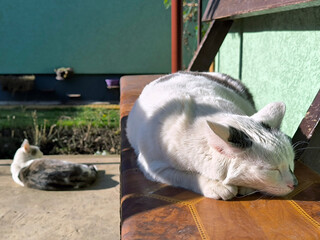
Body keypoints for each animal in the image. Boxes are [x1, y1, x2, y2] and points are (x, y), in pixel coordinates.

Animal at [126, 71, 298, 201]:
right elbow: (186, 176)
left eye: (291, 164)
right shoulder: (153, 167)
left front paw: (245, 186)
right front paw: (214, 185)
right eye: (273, 170)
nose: (294, 183)